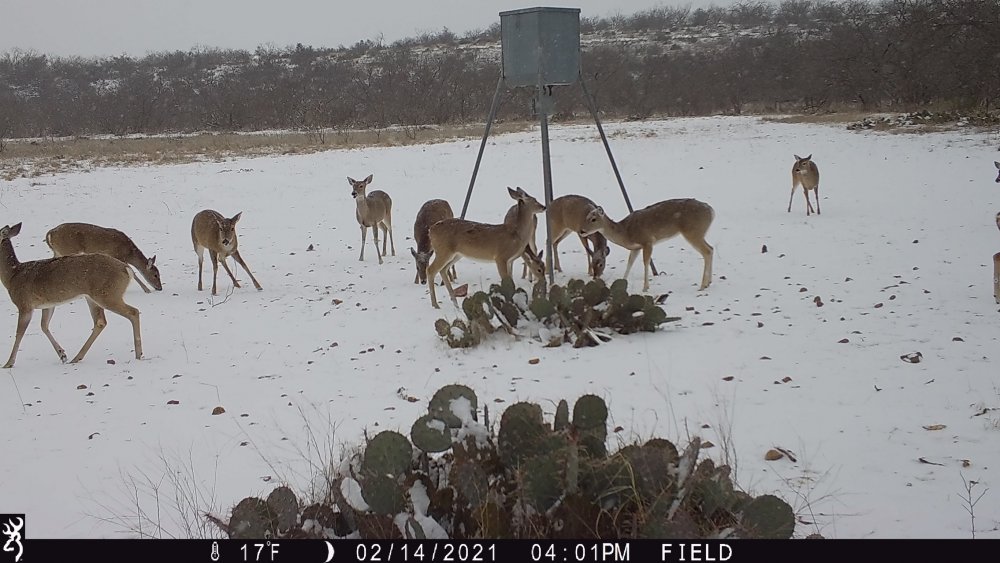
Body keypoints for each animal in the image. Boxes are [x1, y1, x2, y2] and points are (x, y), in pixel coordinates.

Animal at [0, 223, 143, 368]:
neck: (12, 276)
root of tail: (127, 269)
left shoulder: (24, 303)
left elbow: (19, 333)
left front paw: (8, 363)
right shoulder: (48, 303)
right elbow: (44, 325)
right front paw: (62, 355)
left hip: (107, 294)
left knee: (133, 312)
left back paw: (138, 354)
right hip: (93, 297)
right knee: (100, 321)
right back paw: (76, 357)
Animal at [579, 198, 715, 293]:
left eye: (593, 219)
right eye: (586, 217)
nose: (582, 230)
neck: (625, 232)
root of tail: (712, 211)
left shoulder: (647, 241)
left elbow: (645, 262)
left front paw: (645, 288)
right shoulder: (636, 247)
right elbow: (629, 263)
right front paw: (623, 282)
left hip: (693, 232)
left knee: (707, 251)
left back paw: (702, 286)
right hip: (698, 233)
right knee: (711, 248)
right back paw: (708, 282)